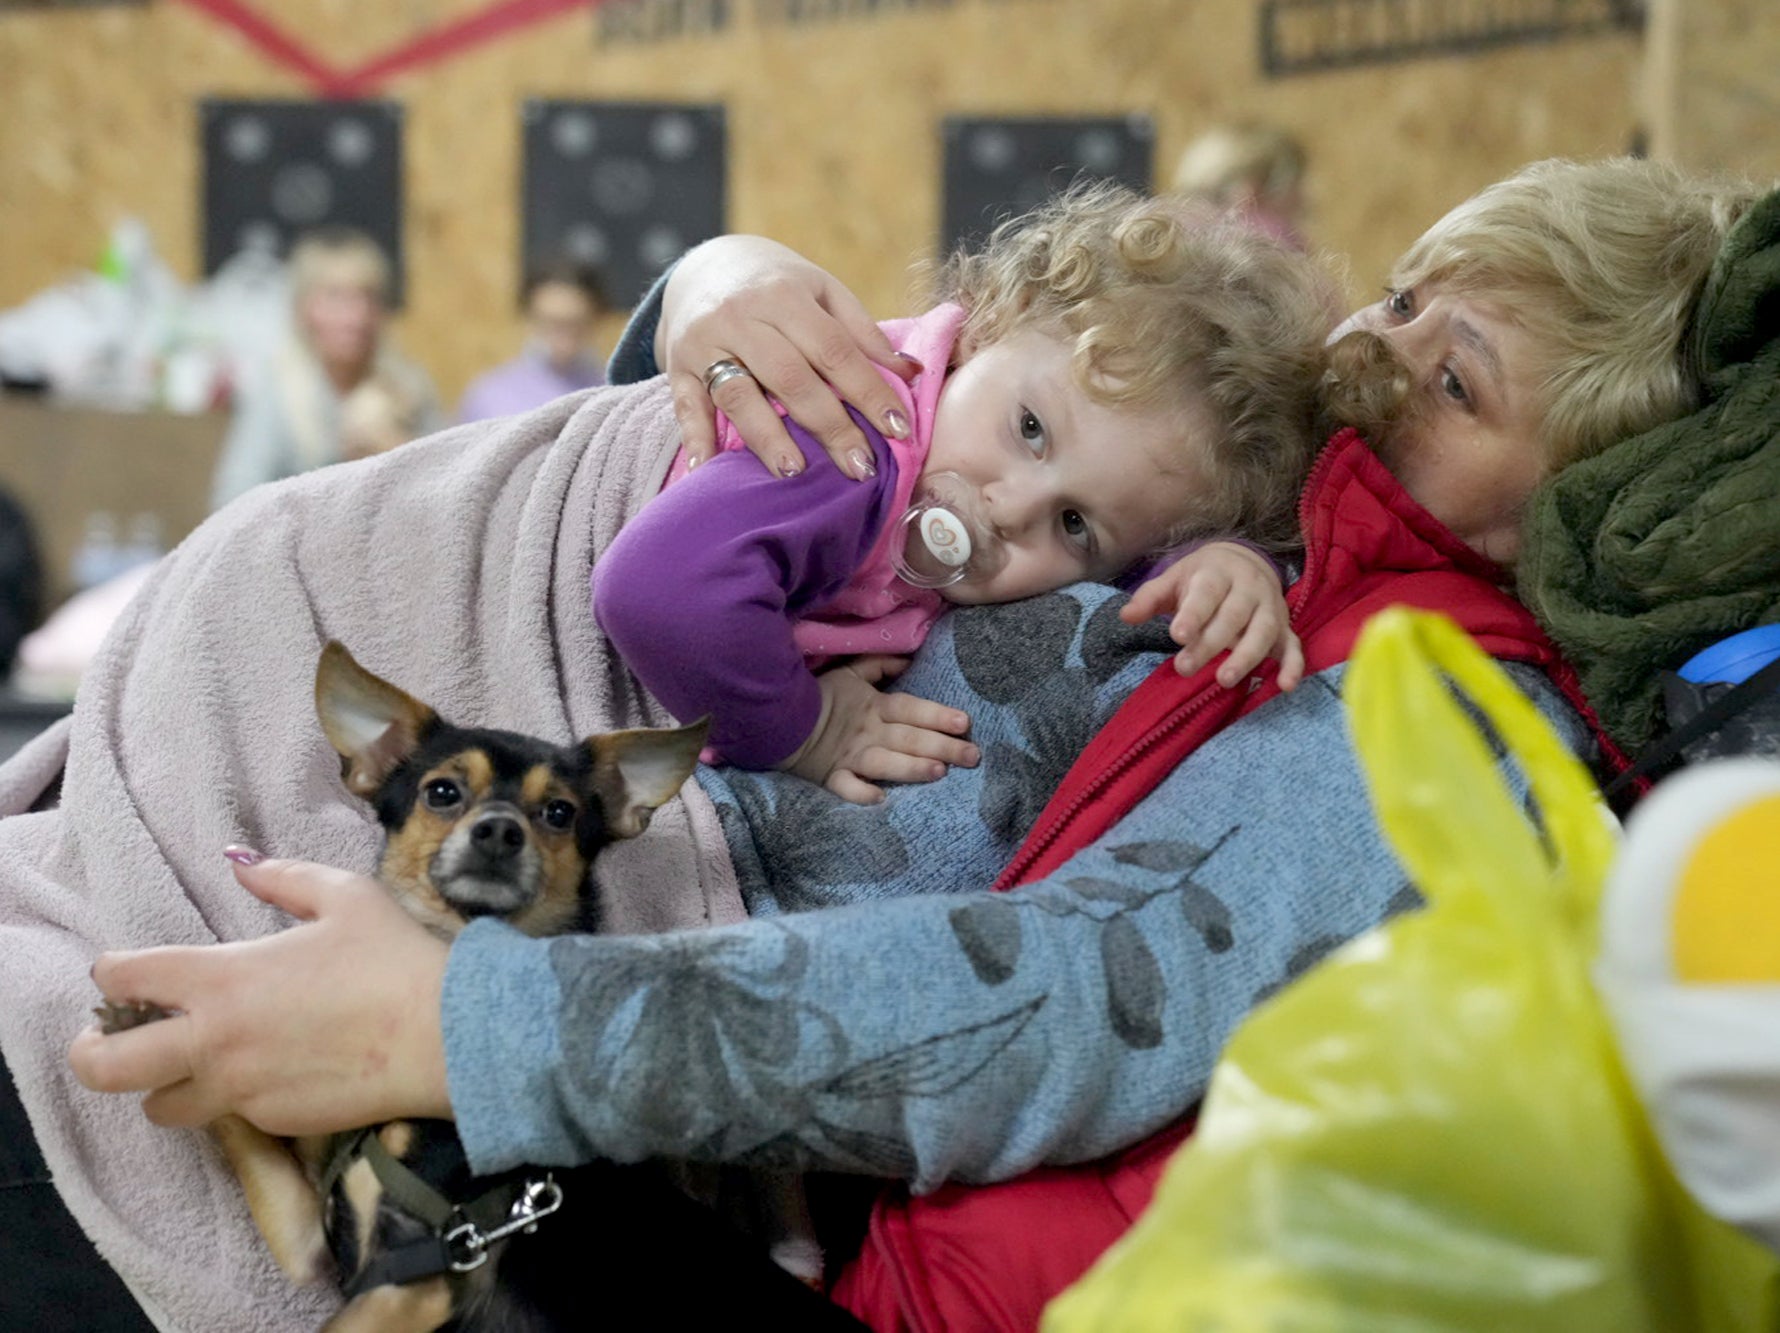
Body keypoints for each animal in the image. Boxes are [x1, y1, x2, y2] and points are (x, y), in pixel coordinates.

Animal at [105, 640, 708, 1324]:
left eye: (559, 813)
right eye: (441, 792)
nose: (500, 830)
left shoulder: (417, 1273)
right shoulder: (312, 1241)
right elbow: (240, 1126)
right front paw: (150, 1023)